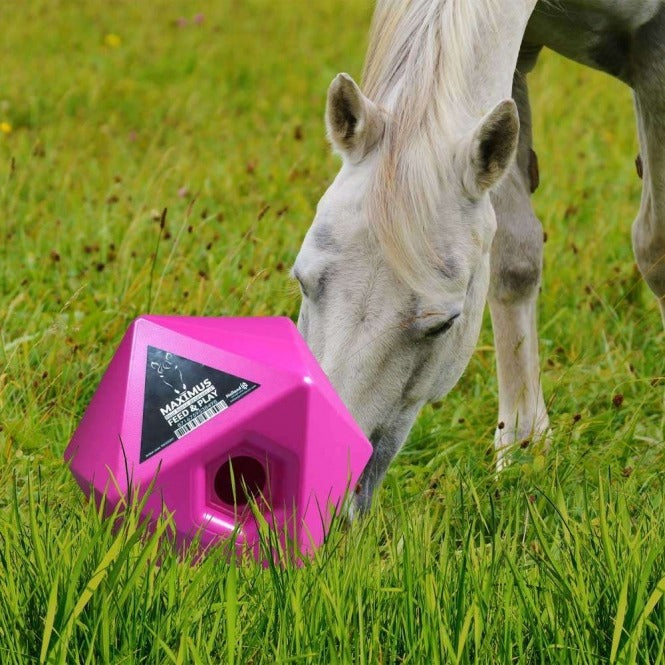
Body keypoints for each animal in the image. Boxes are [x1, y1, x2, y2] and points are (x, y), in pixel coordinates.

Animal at [292, 0, 665, 514]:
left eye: (443, 325)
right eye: (302, 281)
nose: (318, 498)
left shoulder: (655, 49)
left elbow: (656, 249)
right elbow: (514, 260)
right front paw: (525, 452)